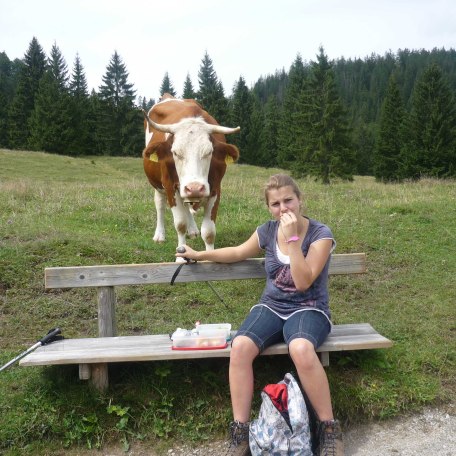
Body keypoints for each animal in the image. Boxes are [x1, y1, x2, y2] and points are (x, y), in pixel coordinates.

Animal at [142, 93, 242, 256]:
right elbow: (180, 224)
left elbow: (209, 232)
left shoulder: (215, 188)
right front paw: (181, 256)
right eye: (175, 152)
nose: (194, 188)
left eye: (209, 152)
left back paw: (193, 230)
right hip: (158, 184)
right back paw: (159, 235)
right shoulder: (170, 187)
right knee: (160, 204)